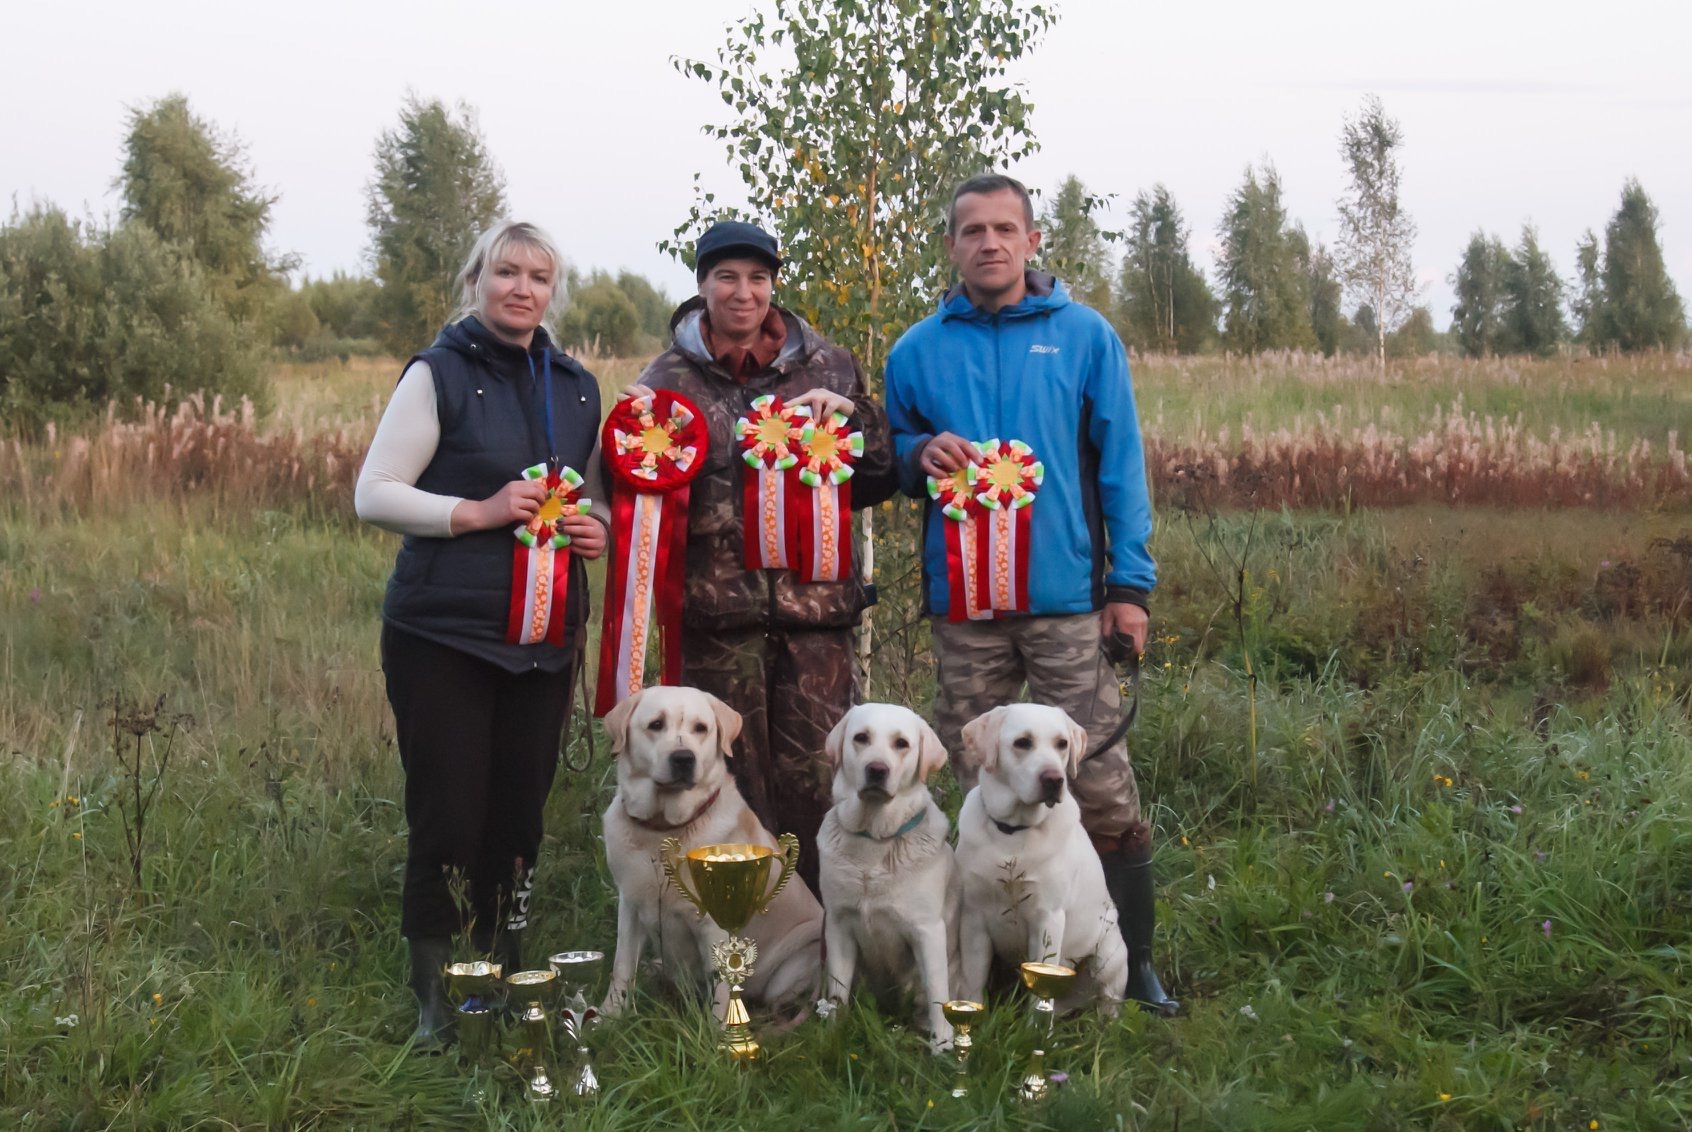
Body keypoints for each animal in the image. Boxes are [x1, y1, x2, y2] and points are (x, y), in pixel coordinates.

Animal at [602, 690, 825, 1015]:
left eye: (701, 728)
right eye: (656, 724)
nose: (684, 758)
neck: (662, 831)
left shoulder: (715, 924)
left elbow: (722, 987)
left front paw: (721, 1028)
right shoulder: (630, 905)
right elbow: (622, 966)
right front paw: (607, 1016)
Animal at [812, 700, 961, 1049]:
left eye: (901, 744)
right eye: (861, 738)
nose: (877, 770)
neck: (874, 839)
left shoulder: (928, 930)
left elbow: (938, 994)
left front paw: (942, 1044)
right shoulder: (838, 923)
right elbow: (837, 991)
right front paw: (833, 1035)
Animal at [954, 700, 1123, 1008]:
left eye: (1062, 744)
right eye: (1023, 742)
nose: (1054, 779)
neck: (1013, 831)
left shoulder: (1048, 917)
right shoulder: (973, 917)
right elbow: (972, 983)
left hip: (1110, 954)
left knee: (1109, 1001)